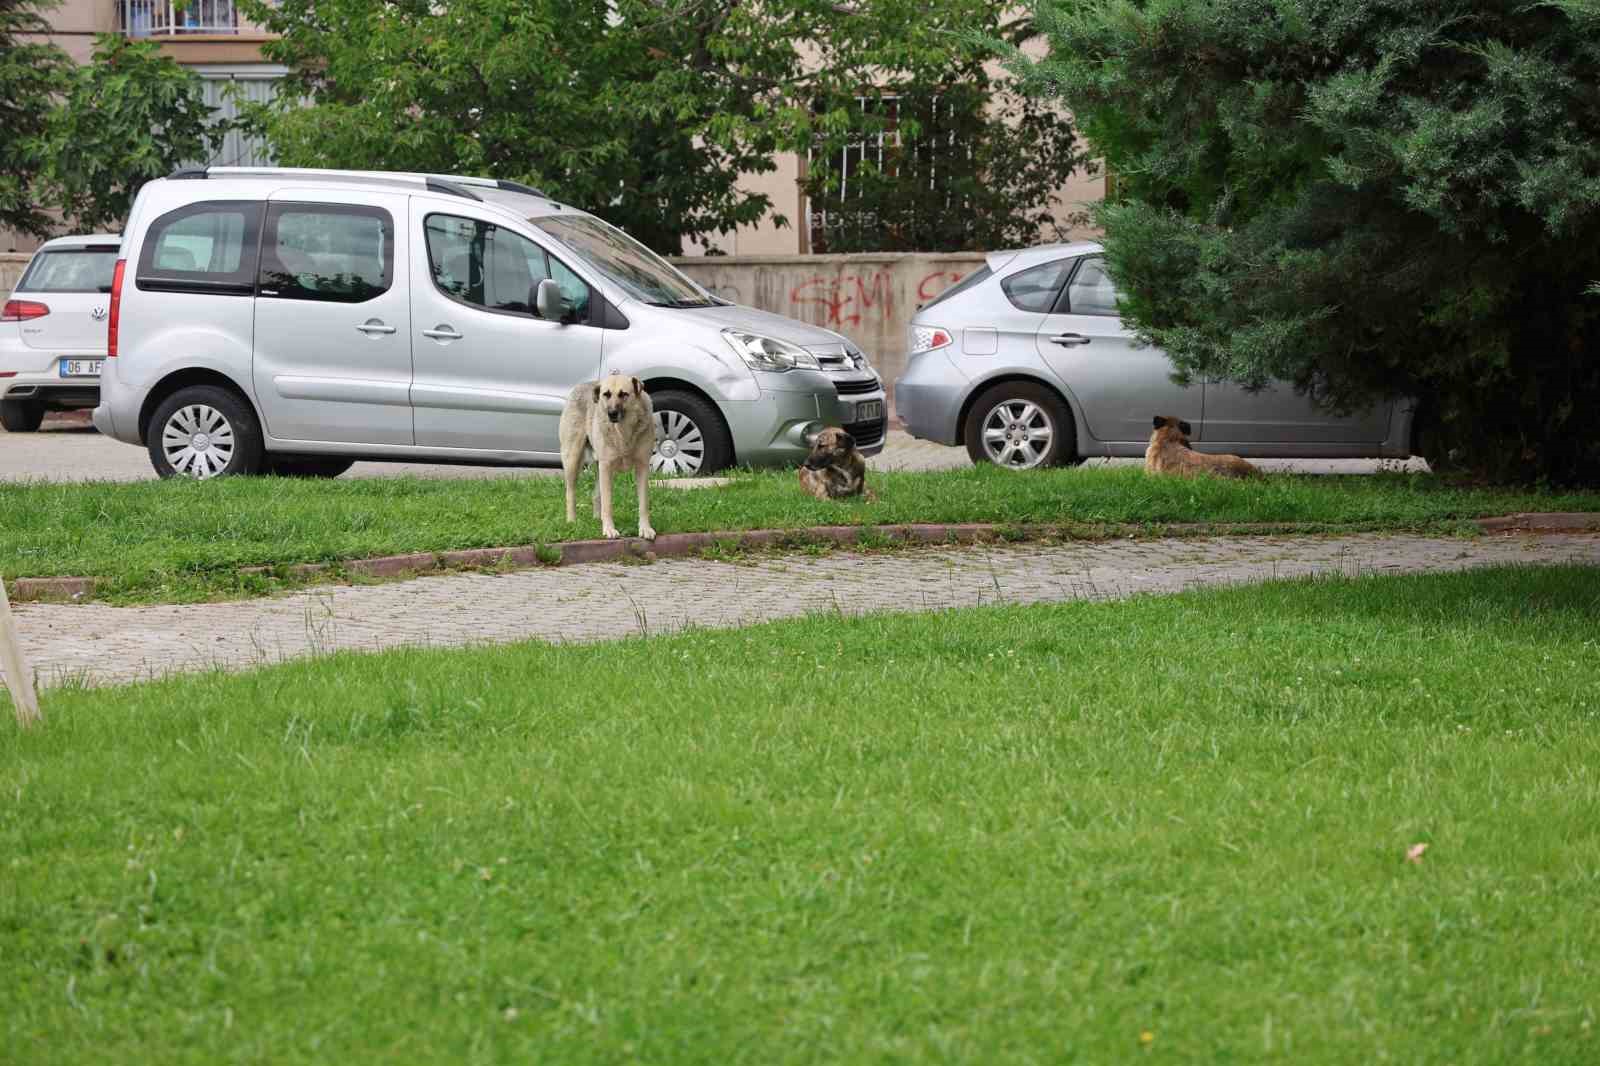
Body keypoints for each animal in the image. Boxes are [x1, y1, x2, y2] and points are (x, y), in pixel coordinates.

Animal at [563, 372, 656, 541]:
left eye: (624, 394)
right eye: (606, 394)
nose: (611, 414)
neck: (623, 431)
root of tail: (582, 385)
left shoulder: (642, 466)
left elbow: (643, 503)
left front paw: (645, 528)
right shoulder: (606, 466)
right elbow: (608, 503)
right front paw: (609, 529)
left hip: (599, 468)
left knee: (595, 495)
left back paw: (596, 519)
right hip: (573, 460)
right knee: (570, 493)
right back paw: (572, 521)